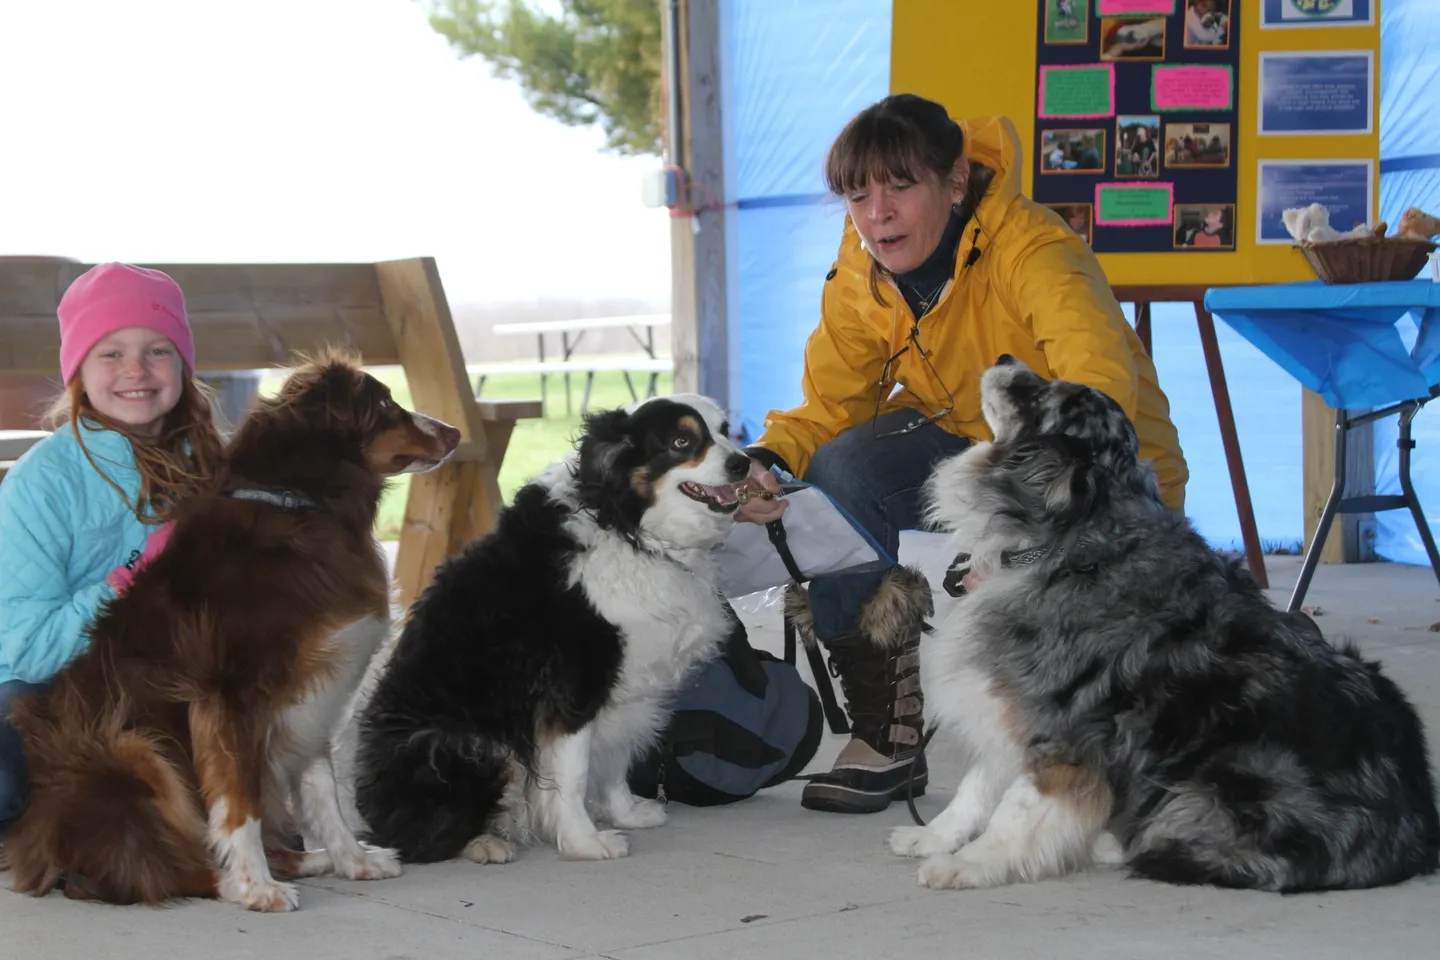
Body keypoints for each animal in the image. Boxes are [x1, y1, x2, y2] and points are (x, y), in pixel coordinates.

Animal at [4, 351, 455, 909]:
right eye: (387, 404)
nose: (455, 432)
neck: (299, 504)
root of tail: (43, 845)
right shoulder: (229, 695)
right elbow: (240, 803)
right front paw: (255, 886)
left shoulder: (316, 690)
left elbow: (322, 790)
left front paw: (353, 860)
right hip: (129, 747)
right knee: (151, 868)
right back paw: (229, 880)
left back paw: (308, 859)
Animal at [352, 391, 748, 863]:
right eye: (681, 442)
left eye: (723, 431)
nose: (744, 464)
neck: (627, 527)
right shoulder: (572, 688)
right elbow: (573, 776)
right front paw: (583, 842)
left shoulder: (625, 684)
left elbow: (615, 757)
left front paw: (624, 813)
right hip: (460, 742)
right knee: (420, 838)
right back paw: (485, 842)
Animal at [892, 356, 1434, 898]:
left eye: (1043, 397)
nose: (1005, 360)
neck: (1068, 536)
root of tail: (1418, 831)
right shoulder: (1009, 701)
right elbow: (978, 783)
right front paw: (935, 836)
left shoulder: (1061, 724)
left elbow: (1017, 808)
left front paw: (970, 863)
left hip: (1236, 766)